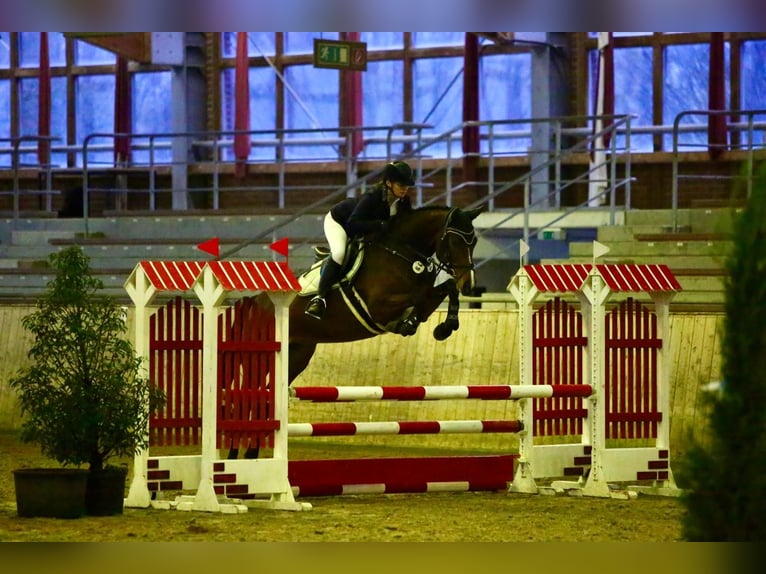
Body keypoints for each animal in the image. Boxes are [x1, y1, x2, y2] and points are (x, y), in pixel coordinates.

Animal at [284, 205, 484, 384]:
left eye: (474, 242)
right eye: (454, 242)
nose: (469, 285)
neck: (402, 252)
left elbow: (448, 288)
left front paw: (444, 327)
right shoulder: (378, 306)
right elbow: (423, 295)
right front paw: (409, 324)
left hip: (299, 353)